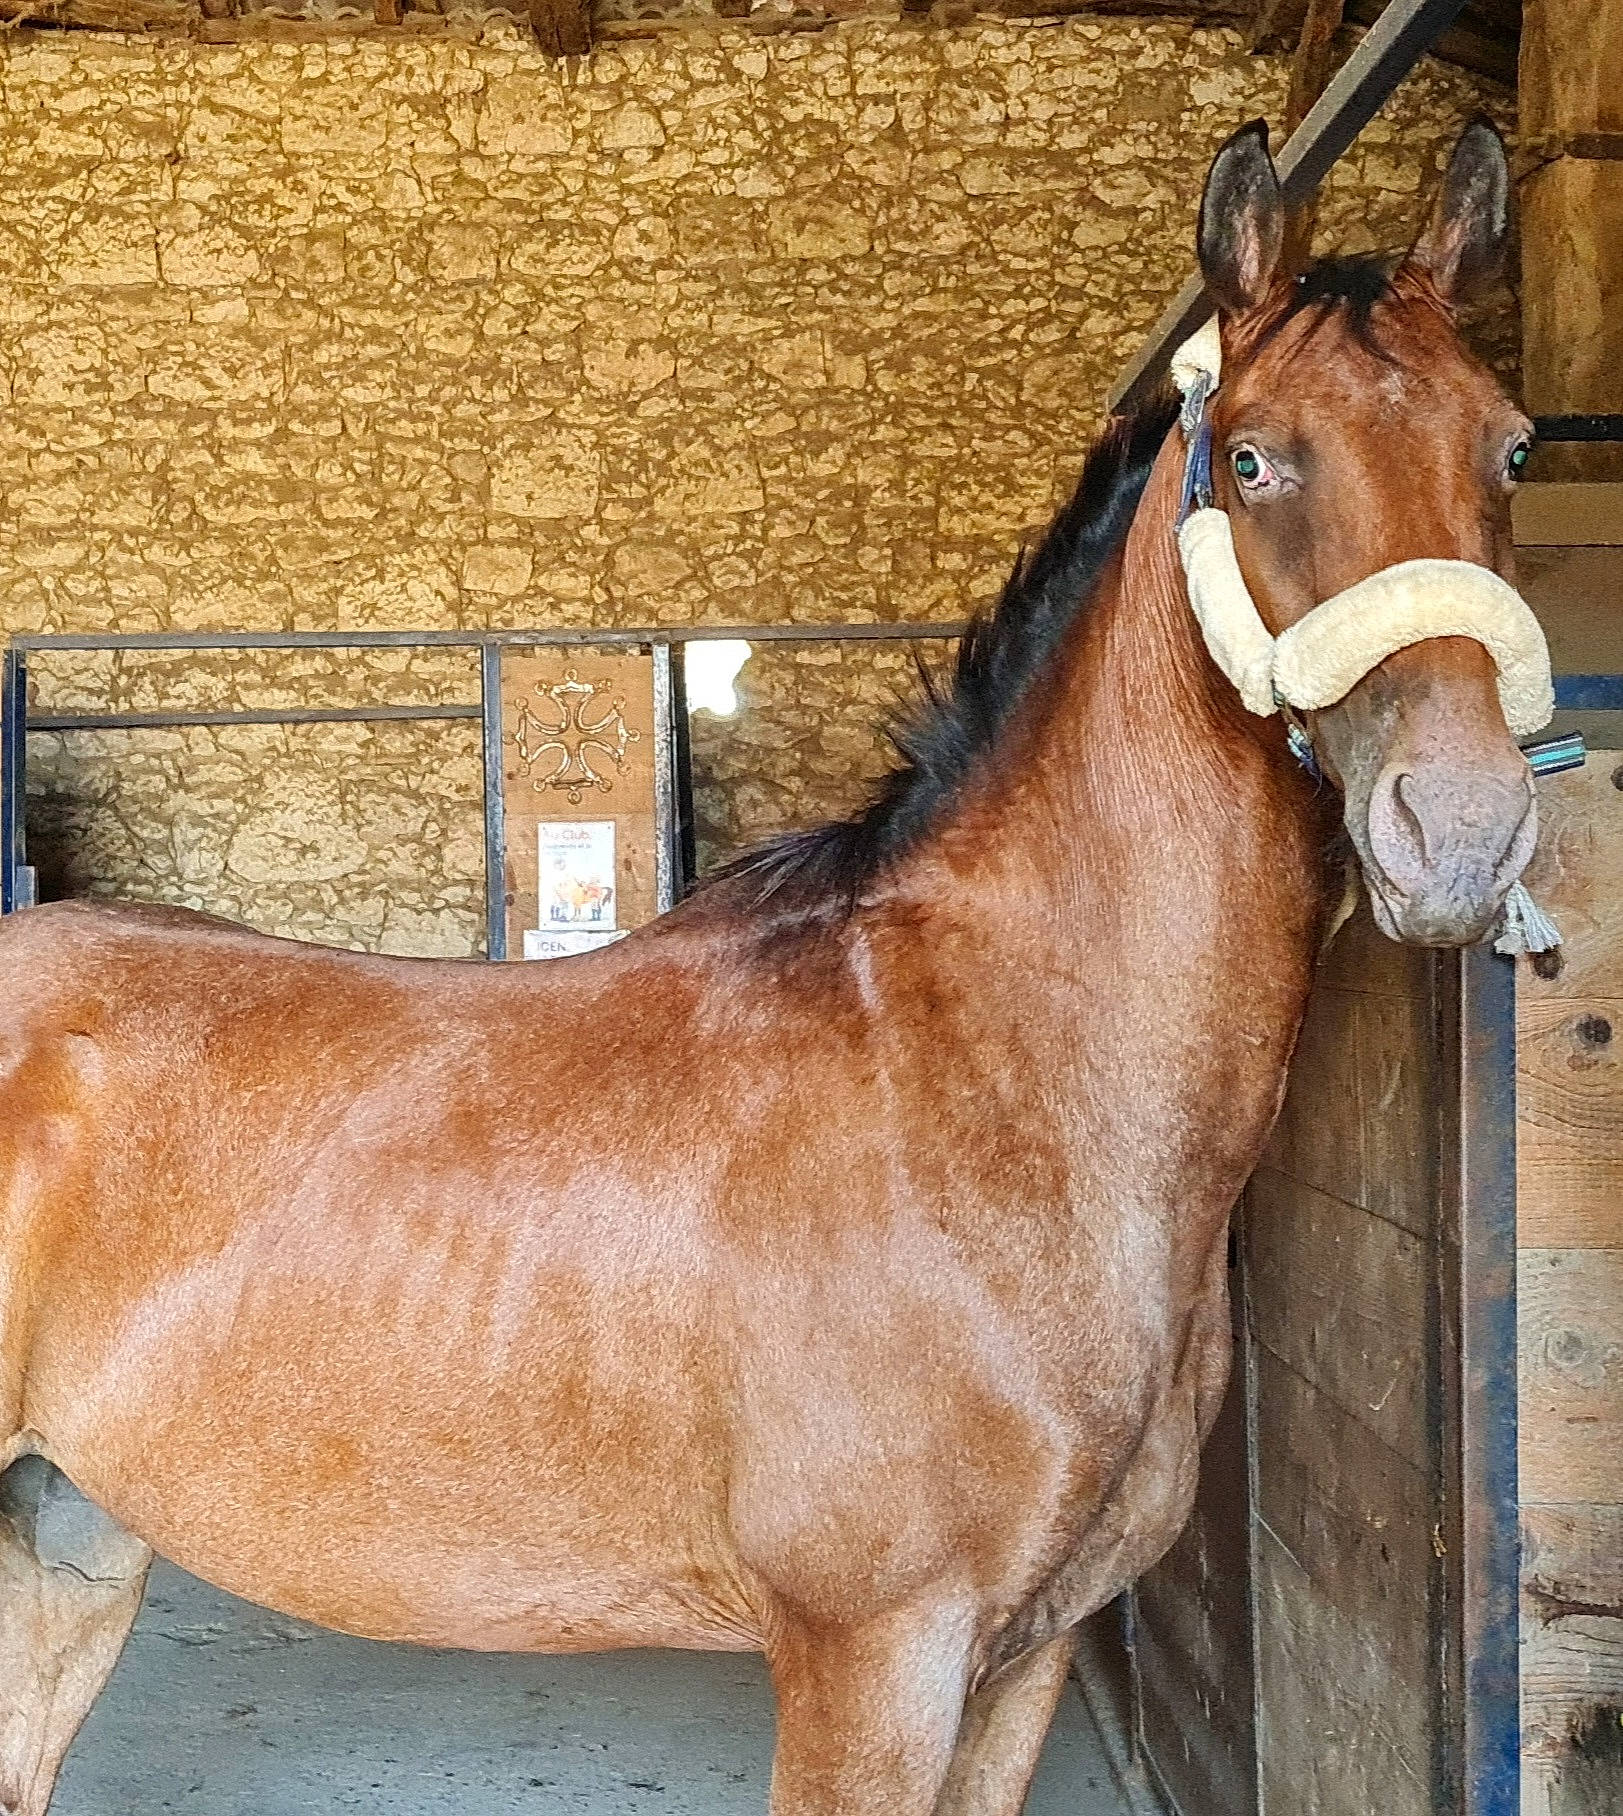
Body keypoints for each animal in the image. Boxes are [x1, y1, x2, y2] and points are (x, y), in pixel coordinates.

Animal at [0, 117, 1541, 1816]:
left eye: (1510, 449)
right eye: (1256, 458)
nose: (1459, 828)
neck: (990, 1084)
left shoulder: (1025, 1664)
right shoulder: (870, 1662)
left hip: (65, 1544)